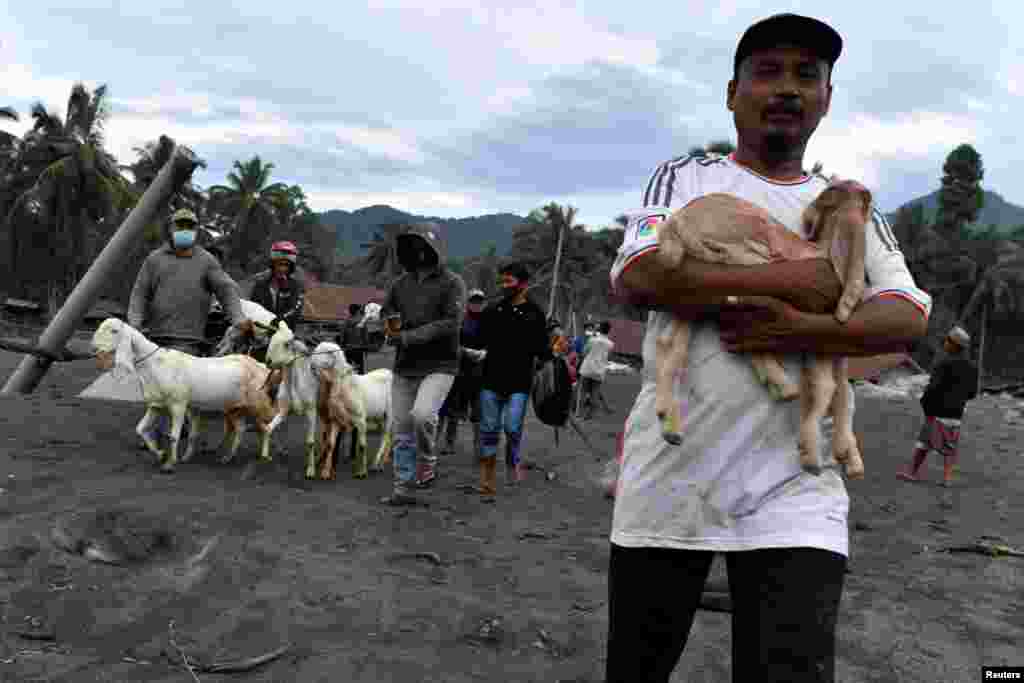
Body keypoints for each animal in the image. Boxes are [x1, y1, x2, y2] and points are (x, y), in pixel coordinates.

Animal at [91, 317, 274, 473]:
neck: (154, 364)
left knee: (265, 428)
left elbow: (173, 436)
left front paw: (170, 464)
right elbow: (141, 429)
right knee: (240, 429)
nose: (93, 347)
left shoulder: (178, 405)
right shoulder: (156, 405)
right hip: (235, 408)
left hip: (258, 403)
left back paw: (264, 456)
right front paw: (161, 454)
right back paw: (226, 457)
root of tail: (261, 365)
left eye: (114, 331)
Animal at [307, 342, 391, 481]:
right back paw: (382, 461)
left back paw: (375, 463)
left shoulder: (360, 419)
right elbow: (330, 444)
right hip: (377, 416)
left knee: (385, 435)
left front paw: (362, 472)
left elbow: (362, 446)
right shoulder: (336, 420)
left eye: (328, 352)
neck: (344, 386)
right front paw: (326, 472)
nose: (312, 365)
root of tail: (386, 371)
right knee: (389, 436)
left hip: (388, 414)